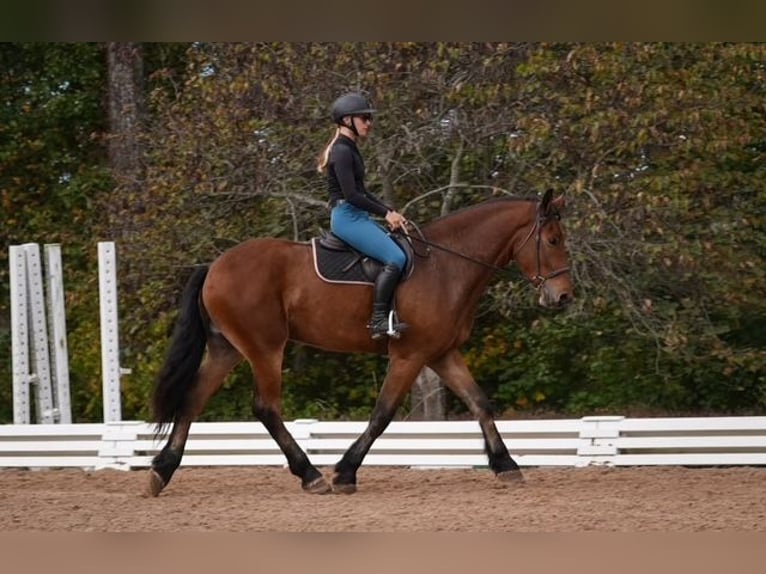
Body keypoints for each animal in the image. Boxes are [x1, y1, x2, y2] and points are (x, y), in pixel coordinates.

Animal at [146, 189, 573, 496]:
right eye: (553, 240)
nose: (564, 296)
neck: (446, 265)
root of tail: (214, 266)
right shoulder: (409, 355)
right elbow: (382, 414)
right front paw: (345, 472)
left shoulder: (441, 353)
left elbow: (479, 402)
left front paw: (507, 466)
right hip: (265, 349)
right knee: (265, 407)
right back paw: (311, 475)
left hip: (227, 349)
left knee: (192, 399)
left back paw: (161, 472)